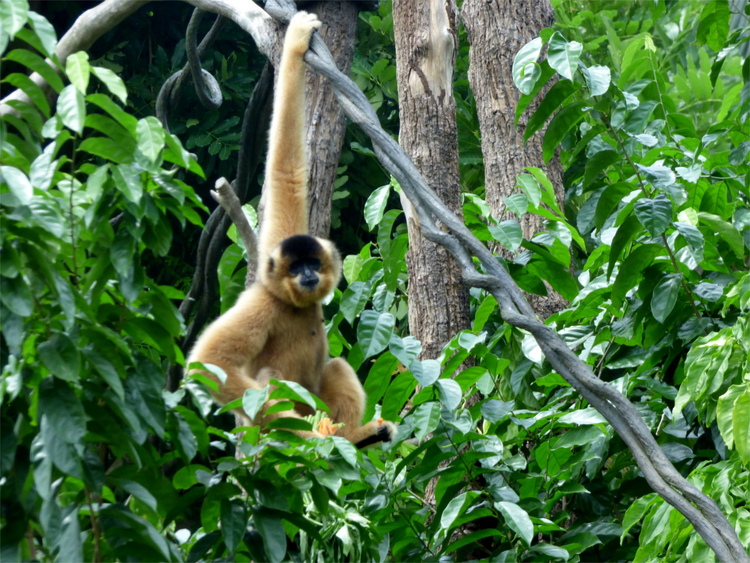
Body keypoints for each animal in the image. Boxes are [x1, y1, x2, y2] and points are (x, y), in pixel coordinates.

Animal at [187, 11, 395, 448]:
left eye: (311, 262)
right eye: (295, 266)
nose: (307, 274)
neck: (292, 305)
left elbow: (289, 175)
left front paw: (296, 47)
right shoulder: (260, 301)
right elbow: (207, 364)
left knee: (336, 366)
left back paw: (355, 437)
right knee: (270, 382)